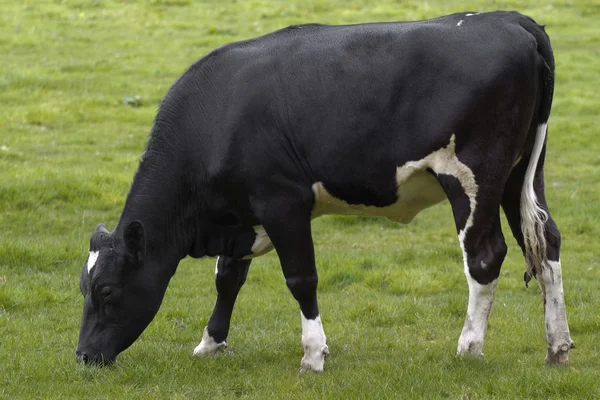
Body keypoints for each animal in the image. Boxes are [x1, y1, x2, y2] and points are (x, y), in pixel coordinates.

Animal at [75, 10, 572, 372]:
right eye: (84, 287)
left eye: (106, 291)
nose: (83, 356)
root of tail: (510, 19)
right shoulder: (243, 215)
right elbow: (227, 278)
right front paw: (210, 343)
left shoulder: (282, 202)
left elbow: (301, 278)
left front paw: (314, 354)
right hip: (520, 174)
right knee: (546, 242)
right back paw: (557, 346)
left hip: (475, 175)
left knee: (485, 256)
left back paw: (469, 347)